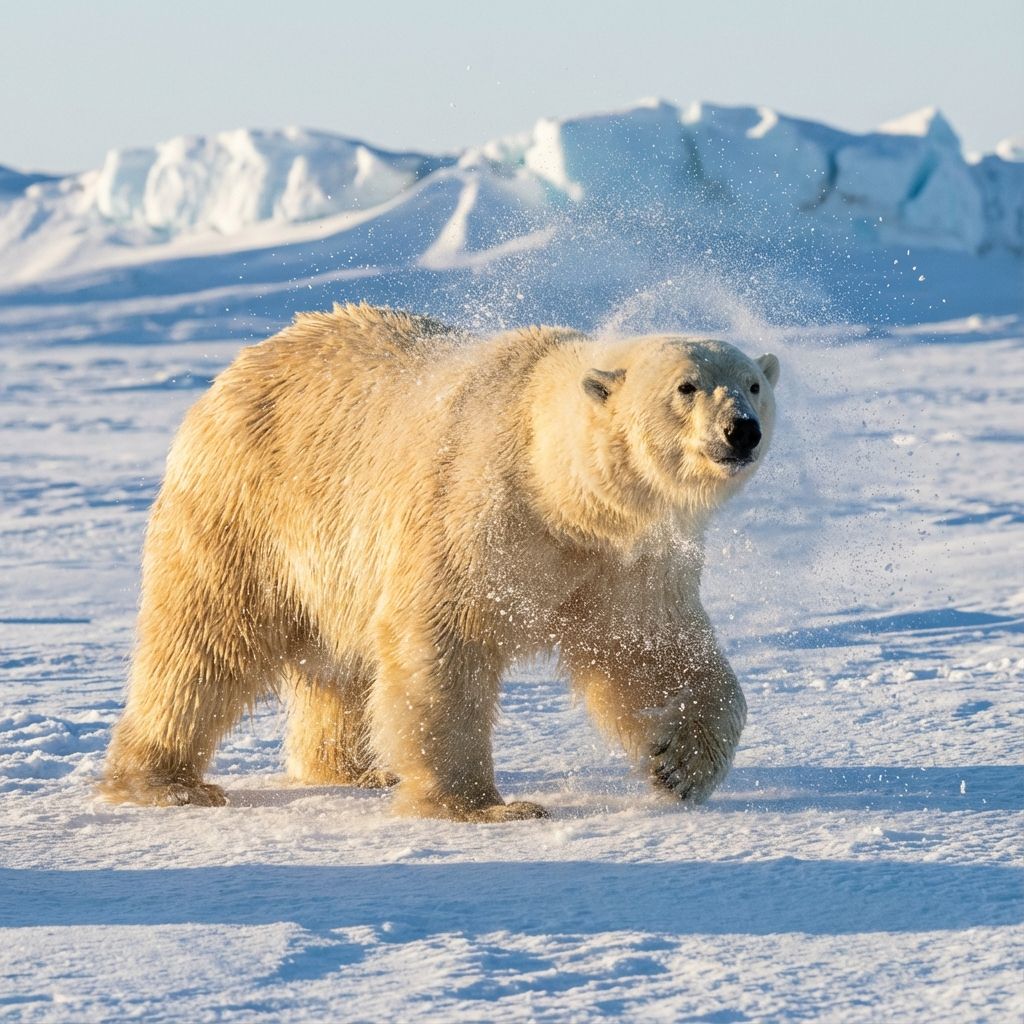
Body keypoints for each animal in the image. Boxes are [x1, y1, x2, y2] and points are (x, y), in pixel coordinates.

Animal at [100, 302, 780, 821]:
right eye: (686, 386)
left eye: (754, 384)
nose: (741, 431)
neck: (556, 490)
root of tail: (240, 365)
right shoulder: (472, 511)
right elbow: (442, 640)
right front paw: (483, 806)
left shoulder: (627, 560)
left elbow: (652, 649)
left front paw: (679, 764)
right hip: (245, 511)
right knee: (202, 642)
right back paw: (166, 782)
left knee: (336, 666)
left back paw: (351, 768)